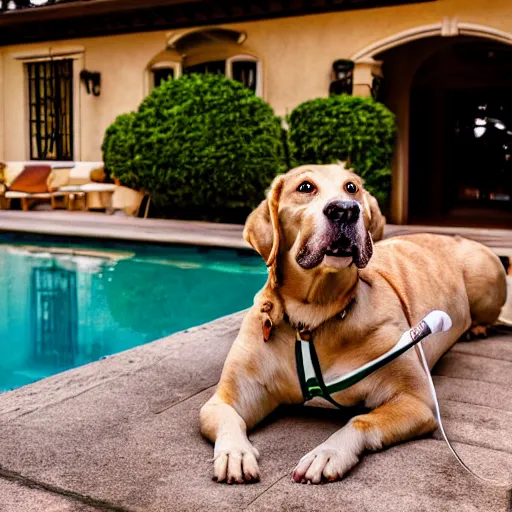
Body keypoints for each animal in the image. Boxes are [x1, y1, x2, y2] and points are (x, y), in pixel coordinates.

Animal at [199, 163, 504, 484]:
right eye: (305, 187)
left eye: (351, 187)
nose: (345, 210)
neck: (312, 316)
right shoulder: (226, 399)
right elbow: (227, 416)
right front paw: (234, 452)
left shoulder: (416, 401)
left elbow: (361, 420)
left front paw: (328, 452)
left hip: (482, 274)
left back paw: (477, 328)